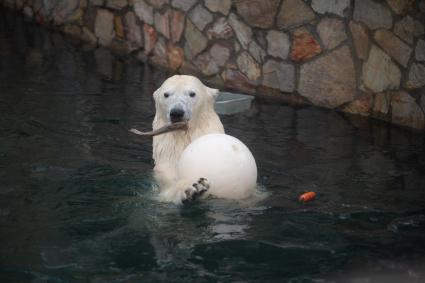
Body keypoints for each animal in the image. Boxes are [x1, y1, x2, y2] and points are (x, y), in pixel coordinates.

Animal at [152, 75, 225, 204]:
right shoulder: (168, 152)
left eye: (192, 93)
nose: (176, 113)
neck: (184, 135)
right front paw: (194, 189)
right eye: (166, 94)